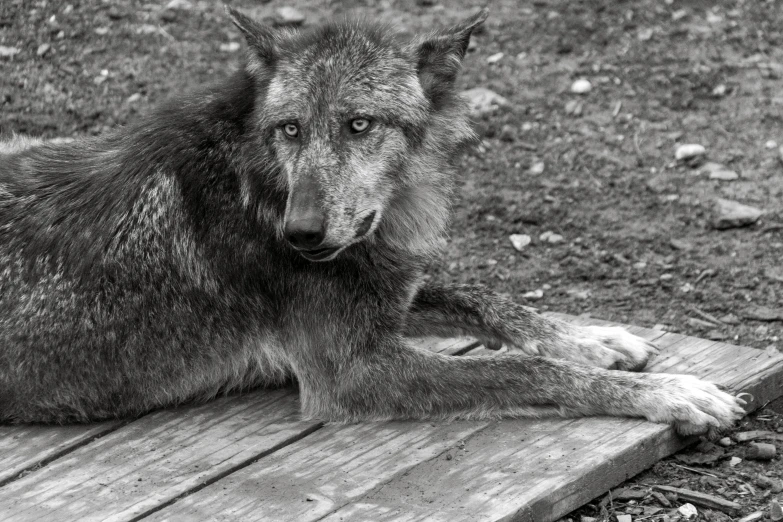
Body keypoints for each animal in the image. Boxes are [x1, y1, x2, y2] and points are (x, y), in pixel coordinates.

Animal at [0, 7, 748, 434]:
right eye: (290, 129)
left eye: (359, 125)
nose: (300, 236)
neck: (258, 184)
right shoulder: (356, 372)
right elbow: (523, 371)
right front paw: (663, 393)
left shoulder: (390, 284)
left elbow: (484, 298)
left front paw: (592, 338)